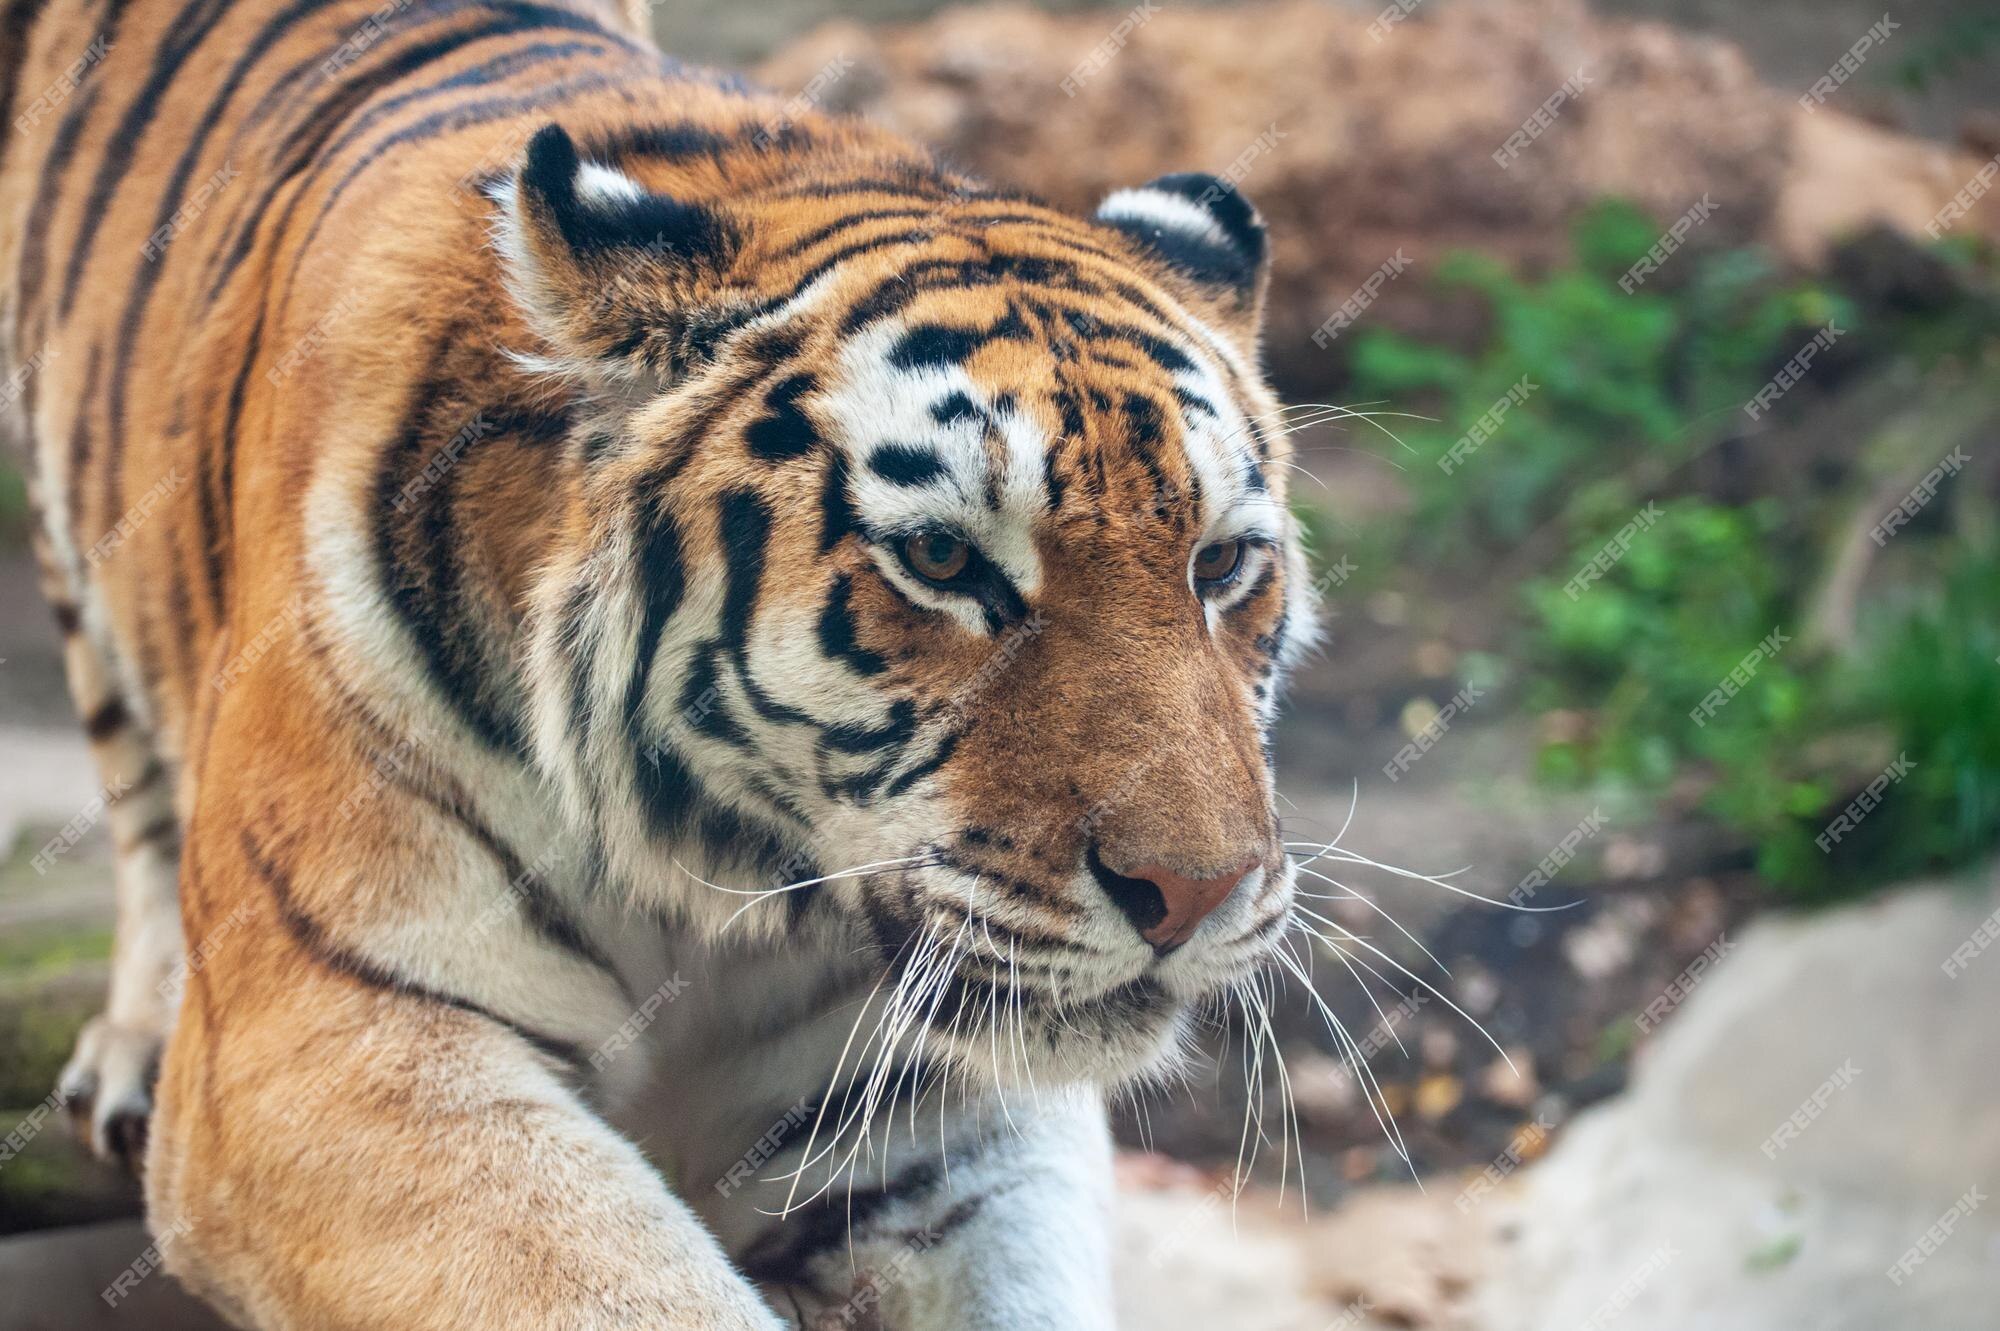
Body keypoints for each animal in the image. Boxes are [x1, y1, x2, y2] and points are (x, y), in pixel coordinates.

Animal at [0, 0, 1312, 1319]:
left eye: (1217, 562)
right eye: (941, 556)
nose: (1196, 893)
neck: (721, 883)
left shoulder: (933, 1114)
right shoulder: (330, 1036)